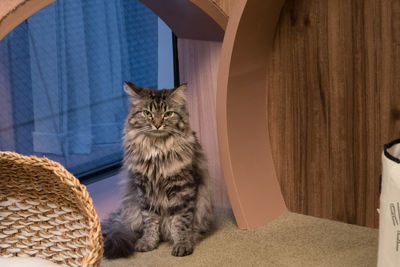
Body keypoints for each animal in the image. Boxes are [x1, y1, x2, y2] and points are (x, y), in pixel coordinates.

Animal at [101, 82, 214, 260]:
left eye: (167, 114)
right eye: (147, 113)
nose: (157, 124)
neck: (158, 150)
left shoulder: (183, 188)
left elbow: (181, 222)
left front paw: (182, 244)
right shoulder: (144, 190)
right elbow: (150, 220)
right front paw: (149, 242)